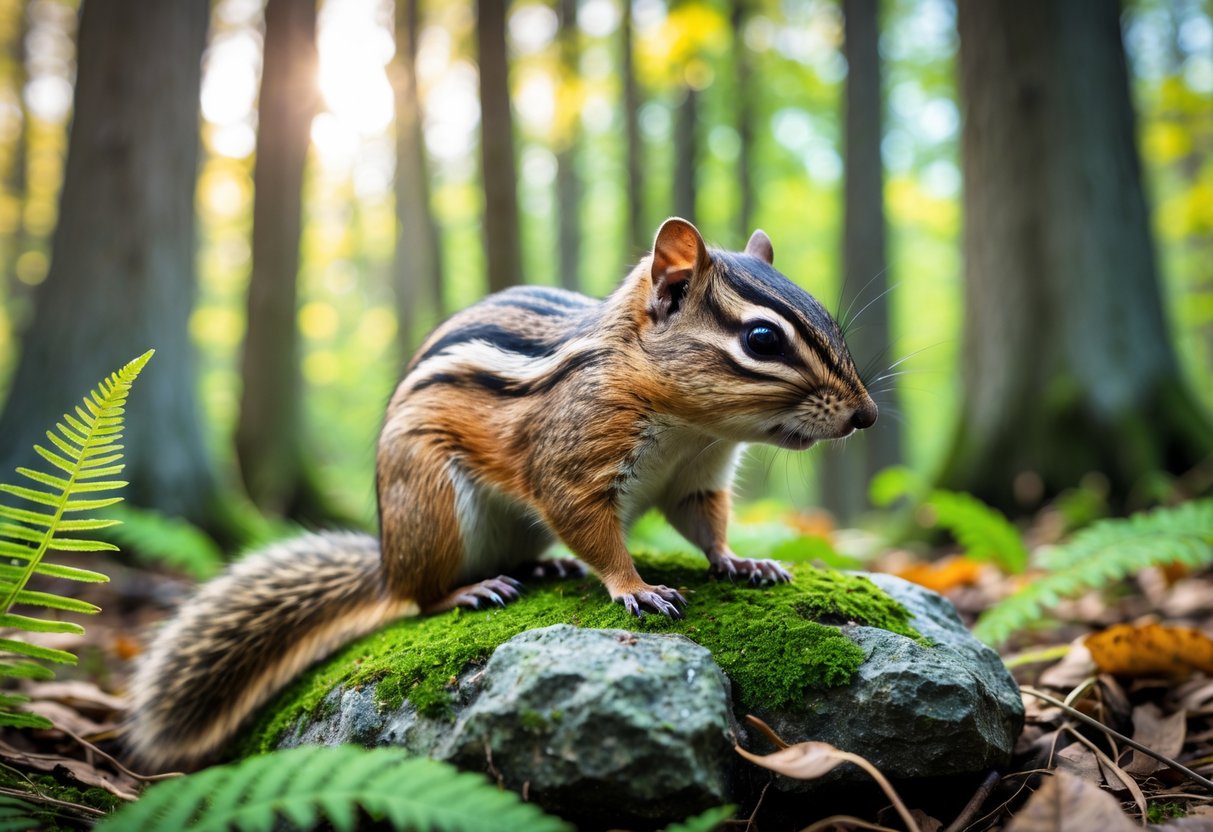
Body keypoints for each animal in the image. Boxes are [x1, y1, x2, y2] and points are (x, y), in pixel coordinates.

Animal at [126, 218, 878, 770]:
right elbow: (593, 529)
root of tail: (388, 560)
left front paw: (742, 561)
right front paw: (635, 587)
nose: (866, 416)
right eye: (761, 338)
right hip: (432, 506)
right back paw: (468, 590)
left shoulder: (698, 479)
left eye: (831, 322)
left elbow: (707, 526)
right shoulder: (572, 464)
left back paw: (543, 568)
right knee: (417, 597)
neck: (691, 426)